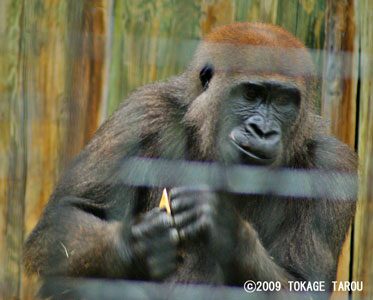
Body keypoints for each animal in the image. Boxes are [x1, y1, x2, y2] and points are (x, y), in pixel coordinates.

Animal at [24, 22, 358, 298]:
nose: (262, 131)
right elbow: (64, 216)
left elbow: (304, 284)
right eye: (251, 94)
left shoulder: (334, 165)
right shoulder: (141, 114)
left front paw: (226, 227)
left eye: (282, 100)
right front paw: (138, 243)